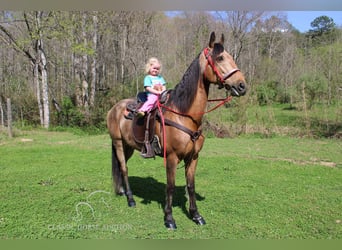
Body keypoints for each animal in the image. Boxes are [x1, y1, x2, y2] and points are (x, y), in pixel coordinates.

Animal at [106, 31, 246, 229]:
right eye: (219, 58)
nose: (242, 85)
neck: (184, 114)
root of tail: (114, 109)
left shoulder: (193, 157)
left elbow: (191, 185)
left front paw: (196, 215)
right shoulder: (171, 157)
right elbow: (170, 186)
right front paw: (169, 218)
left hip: (128, 147)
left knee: (121, 166)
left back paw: (124, 192)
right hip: (118, 143)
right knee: (124, 169)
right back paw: (131, 199)